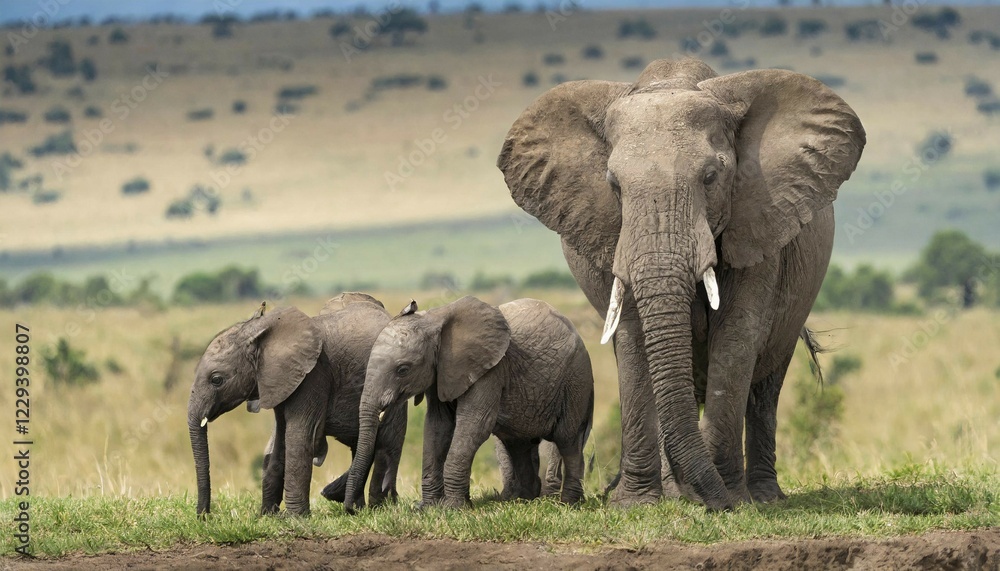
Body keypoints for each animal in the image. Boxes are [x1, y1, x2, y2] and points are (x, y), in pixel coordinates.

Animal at [187, 293, 408, 516]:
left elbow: (300, 437)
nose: (204, 516)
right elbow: (280, 441)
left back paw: (378, 507)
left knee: (385, 443)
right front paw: (268, 516)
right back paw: (356, 506)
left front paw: (296, 518)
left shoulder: (313, 376)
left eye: (216, 379)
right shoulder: (280, 381)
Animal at [344, 297, 594, 512]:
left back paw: (569, 504)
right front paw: (428, 509)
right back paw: (521, 500)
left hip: (576, 382)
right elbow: (437, 427)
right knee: (518, 443)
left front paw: (453, 509)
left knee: (567, 439)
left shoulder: (491, 370)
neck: (435, 319)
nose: (352, 509)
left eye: (403, 369)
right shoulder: (441, 372)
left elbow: (474, 425)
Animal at [497, 58, 865, 510]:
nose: (718, 502)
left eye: (710, 177)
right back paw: (679, 492)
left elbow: (737, 336)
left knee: (765, 387)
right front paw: (637, 504)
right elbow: (636, 339)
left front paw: (731, 499)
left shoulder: (757, 222)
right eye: (613, 184)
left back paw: (762, 497)